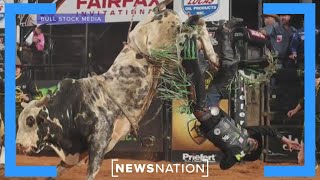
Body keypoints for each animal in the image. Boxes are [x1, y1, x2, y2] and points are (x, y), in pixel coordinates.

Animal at [15, 0, 220, 179]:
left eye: (30, 120)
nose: (19, 146)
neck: (72, 107)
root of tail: (156, 10)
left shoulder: (99, 141)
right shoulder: (78, 152)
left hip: (172, 43)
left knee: (194, 26)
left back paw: (212, 58)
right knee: (196, 25)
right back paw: (214, 59)